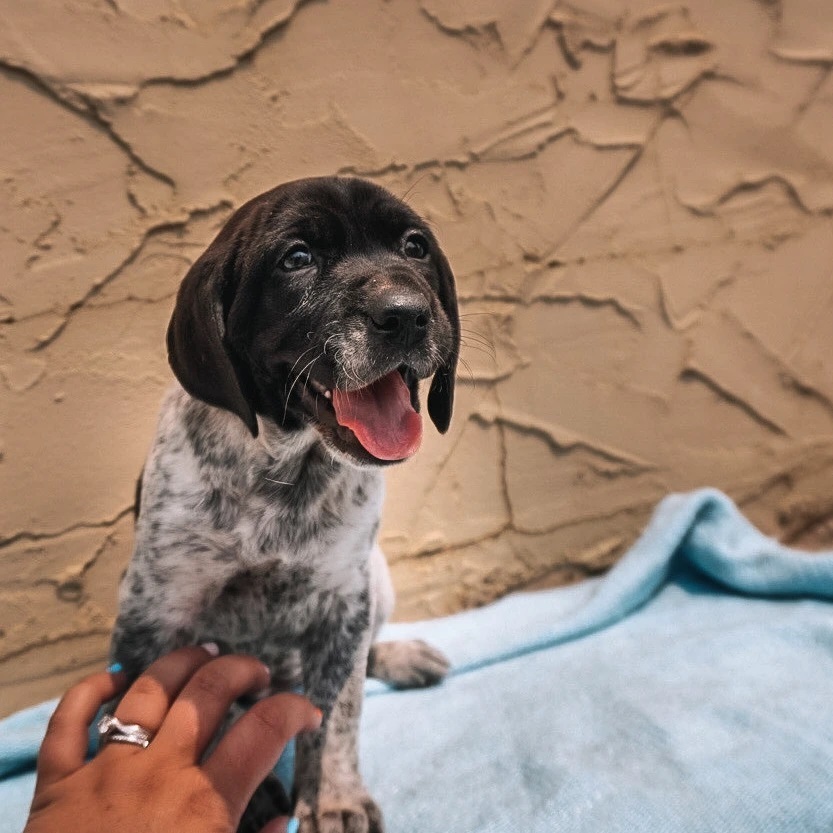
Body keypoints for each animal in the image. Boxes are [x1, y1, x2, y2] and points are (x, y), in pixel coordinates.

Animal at [107, 177, 458, 832]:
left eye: (414, 246)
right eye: (296, 259)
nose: (407, 314)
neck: (286, 466)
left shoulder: (343, 604)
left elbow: (337, 712)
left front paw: (334, 797)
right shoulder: (156, 616)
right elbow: (188, 704)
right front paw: (239, 791)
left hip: (377, 578)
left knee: (358, 660)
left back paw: (397, 656)